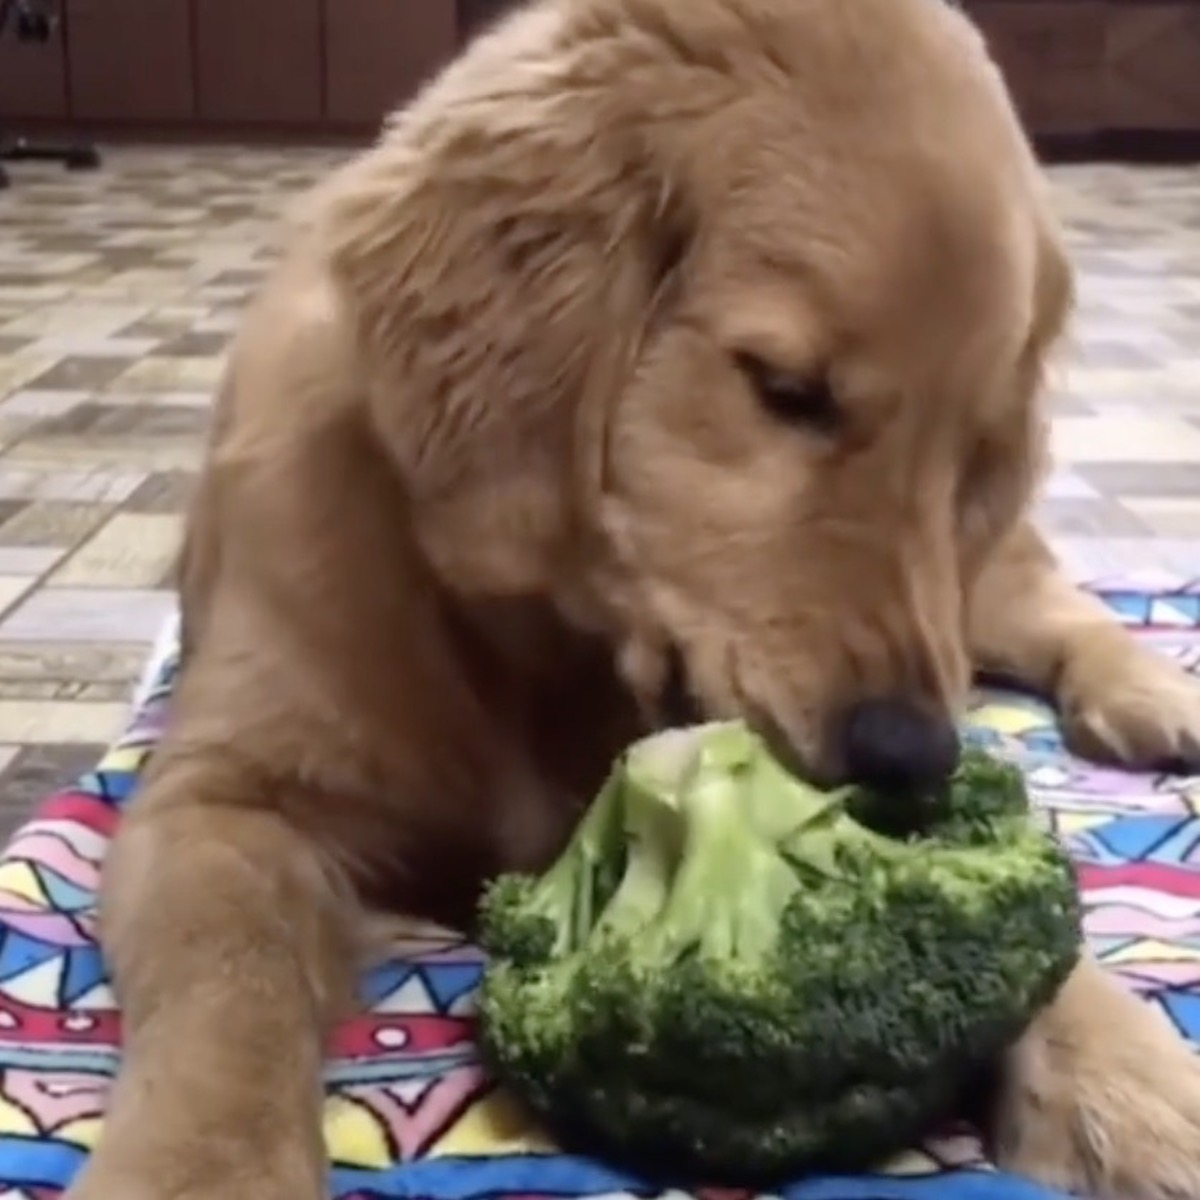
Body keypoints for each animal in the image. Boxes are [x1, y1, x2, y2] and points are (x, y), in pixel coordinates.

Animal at [60, 2, 1200, 1200]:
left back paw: (1154, 694)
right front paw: (196, 1164)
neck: (526, 646)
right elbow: (232, 986)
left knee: (1058, 604)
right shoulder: (222, 796)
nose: (911, 757)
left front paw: (1130, 1078)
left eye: (969, 452)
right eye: (787, 390)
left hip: (984, 585)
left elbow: (1050, 942)